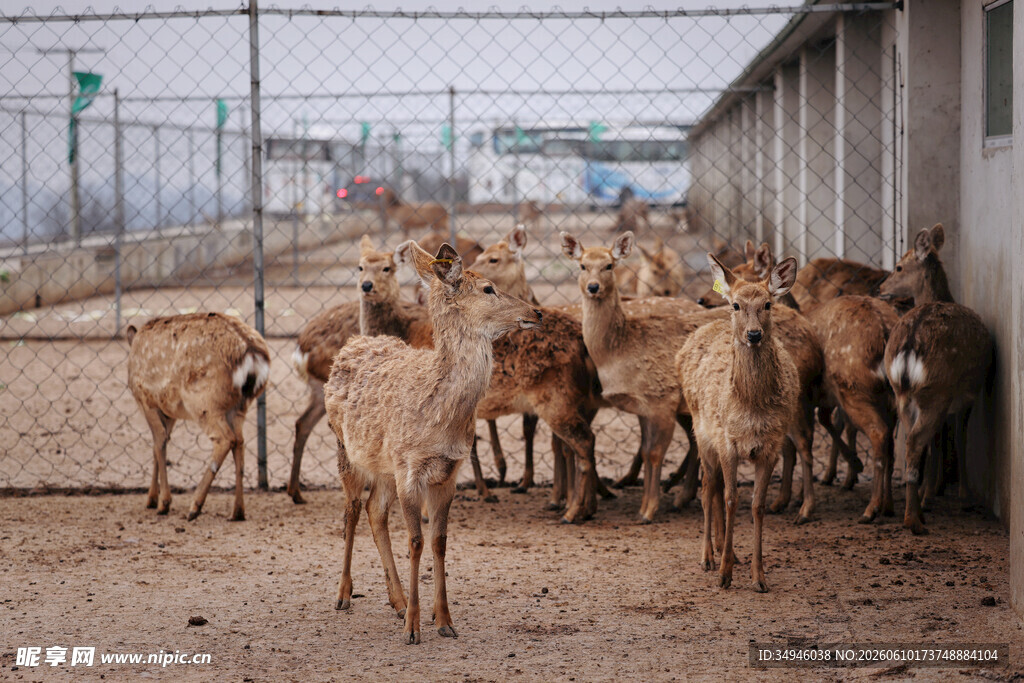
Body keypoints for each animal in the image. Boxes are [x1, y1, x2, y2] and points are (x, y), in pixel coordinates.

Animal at [126, 312, 270, 521]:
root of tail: (252, 356)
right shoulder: (169, 412)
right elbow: (158, 445)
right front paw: (151, 499)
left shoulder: (147, 400)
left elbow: (159, 443)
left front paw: (162, 503)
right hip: (239, 406)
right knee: (239, 442)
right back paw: (237, 511)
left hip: (203, 402)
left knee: (225, 439)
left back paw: (195, 507)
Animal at [325, 241, 542, 644]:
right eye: (488, 288)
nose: (536, 311)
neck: (443, 420)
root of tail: (355, 342)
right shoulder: (410, 468)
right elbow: (416, 542)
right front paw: (413, 628)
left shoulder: (448, 471)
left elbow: (439, 541)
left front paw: (443, 621)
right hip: (346, 449)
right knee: (351, 511)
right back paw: (344, 595)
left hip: (383, 465)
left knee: (375, 511)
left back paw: (395, 601)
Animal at [676, 254, 799, 592]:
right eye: (735, 305)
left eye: (768, 304)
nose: (754, 334)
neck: (751, 410)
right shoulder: (727, 442)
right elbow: (732, 499)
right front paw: (724, 575)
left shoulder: (770, 446)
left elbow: (757, 505)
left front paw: (759, 577)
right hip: (701, 432)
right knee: (708, 488)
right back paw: (708, 556)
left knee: (715, 487)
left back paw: (725, 550)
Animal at [806, 295, 900, 522]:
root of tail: (884, 331)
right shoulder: (826, 397)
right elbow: (827, 420)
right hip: (891, 400)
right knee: (891, 446)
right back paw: (888, 506)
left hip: (853, 388)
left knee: (878, 433)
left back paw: (871, 509)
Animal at [877, 223, 992, 535]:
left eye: (899, 266)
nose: (880, 289)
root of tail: (909, 344)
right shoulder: (968, 395)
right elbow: (961, 438)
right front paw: (963, 497)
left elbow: (940, 441)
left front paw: (931, 492)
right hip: (936, 389)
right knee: (917, 442)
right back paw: (914, 520)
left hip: (903, 394)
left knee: (910, 443)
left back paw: (914, 510)